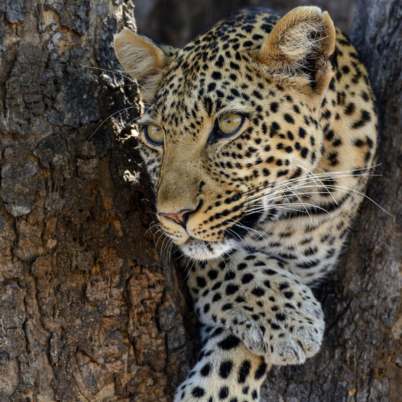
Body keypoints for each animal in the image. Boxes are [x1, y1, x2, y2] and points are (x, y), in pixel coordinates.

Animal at [113, 6, 376, 402]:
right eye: (154, 134)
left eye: (229, 124)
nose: (172, 214)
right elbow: (221, 263)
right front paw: (291, 316)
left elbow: (235, 355)